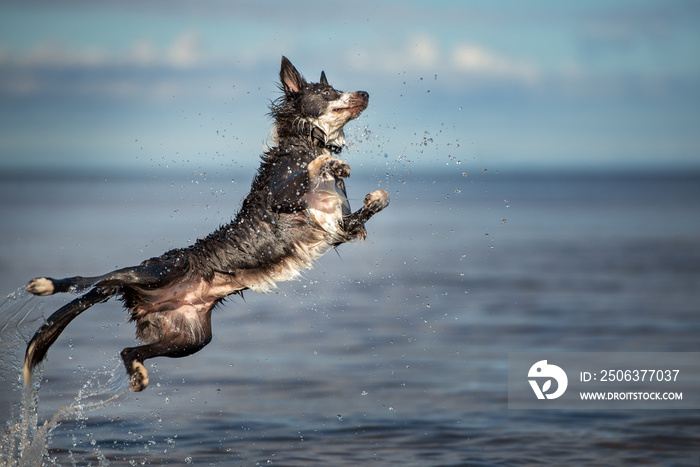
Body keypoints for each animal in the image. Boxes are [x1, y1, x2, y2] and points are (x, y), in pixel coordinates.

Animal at [24, 56, 392, 394]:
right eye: (328, 92)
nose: (365, 93)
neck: (306, 142)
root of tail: (140, 298)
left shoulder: (338, 228)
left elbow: (379, 202)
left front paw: (370, 192)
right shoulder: (280, 199)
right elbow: (312, 170)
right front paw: (330, 163)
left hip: (190, 338)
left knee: (129, 349)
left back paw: (139, 375)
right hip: (156, 271)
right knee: (92, 279)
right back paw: (45, 284)